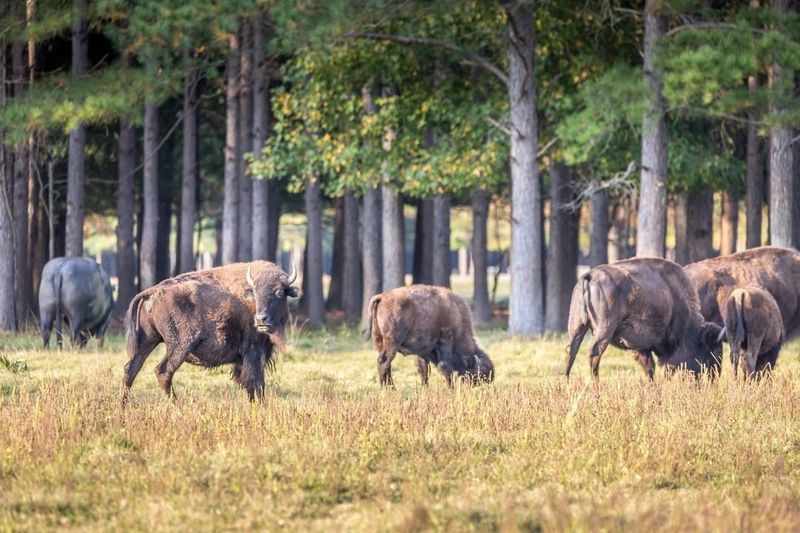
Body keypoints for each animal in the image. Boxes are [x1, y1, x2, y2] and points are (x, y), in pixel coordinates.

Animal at [122, 260, 300, 404]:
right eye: (255, 293)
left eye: (279, 293)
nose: (261, 319)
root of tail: (153, 291)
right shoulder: (254, 353)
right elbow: (256, 383)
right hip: (179, 346)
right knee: (163, 372)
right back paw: (178, 406)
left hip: (147, 341)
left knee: (130, 370)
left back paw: (123, 408)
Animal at [564, 258, 724, 378]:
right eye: (712, 350)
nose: (714, 375)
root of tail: (590, 275)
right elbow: (664, 367)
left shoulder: (643, 347)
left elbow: (649, 367)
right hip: (605, 328)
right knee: (594, 354)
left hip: (577, 326)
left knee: (571, 350)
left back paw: (566, 383)